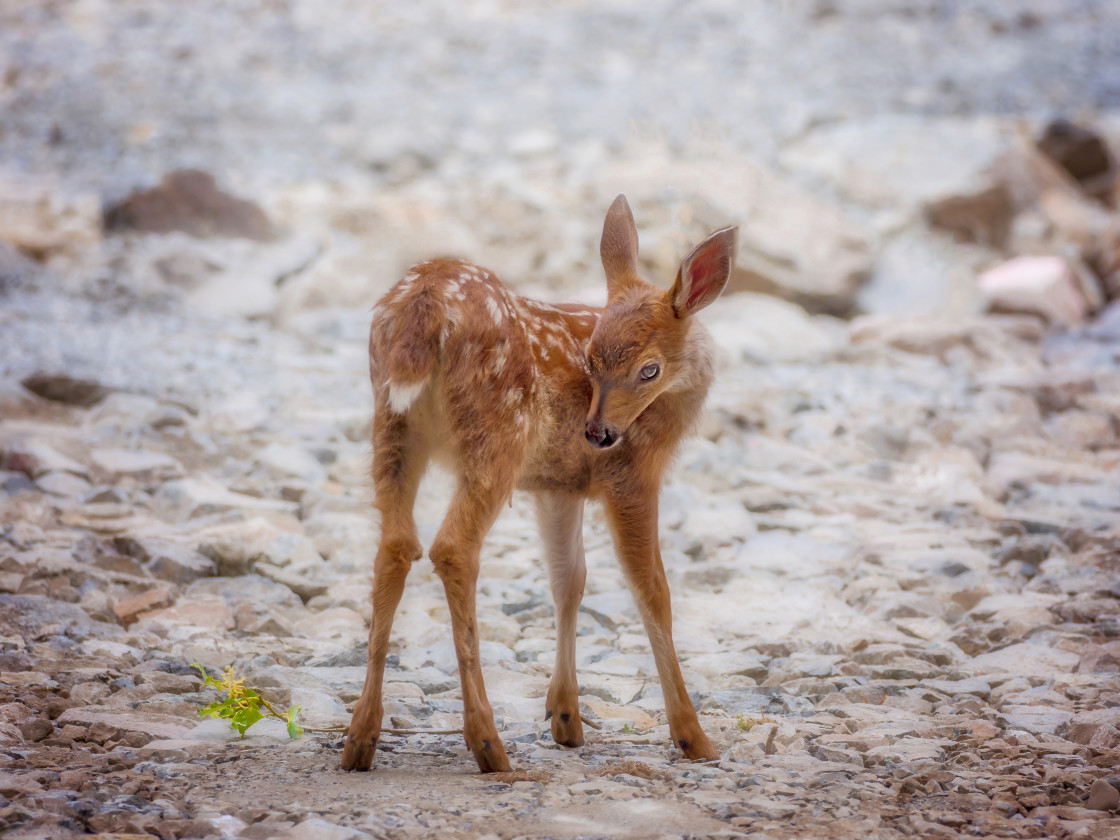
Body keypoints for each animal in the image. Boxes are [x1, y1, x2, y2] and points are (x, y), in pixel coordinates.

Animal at [342, 197, 743, 775]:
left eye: (647, 370)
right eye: (592, 360)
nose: (597, 433)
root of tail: (426, 303)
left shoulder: (558, 485)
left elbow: (568, 580)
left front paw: (566, 718)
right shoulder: (630, 473)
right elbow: (652, 591)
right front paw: (693, 737)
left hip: (392, 425)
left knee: (395, 545)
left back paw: (360, 738)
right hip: (497, 433)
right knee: (453, 549)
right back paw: (487, 743)